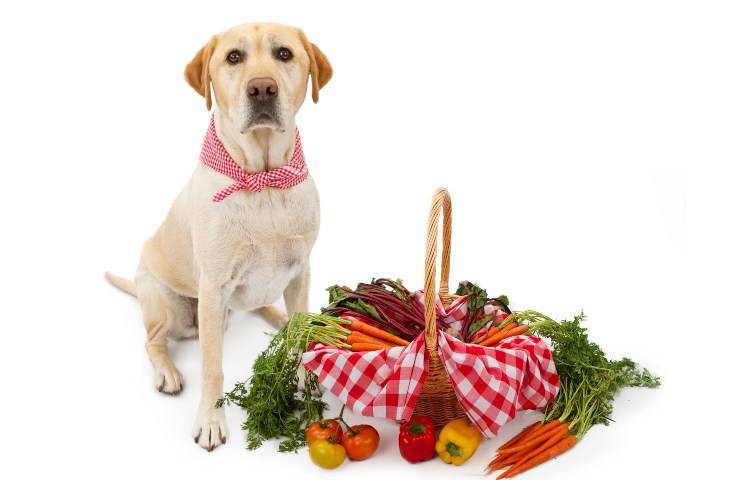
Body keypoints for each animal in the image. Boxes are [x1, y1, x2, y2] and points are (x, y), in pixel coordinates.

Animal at [105, 22, 332, 450]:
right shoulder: (212, 287)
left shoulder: (301, 271)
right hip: (165, 303)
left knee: (277, 312)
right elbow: (213, 368)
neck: (263, 181)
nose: (262, 88)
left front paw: (303, 378)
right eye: (233, 58)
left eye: (284, 54)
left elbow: (297, 338)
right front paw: (211, 420)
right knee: (153, 340)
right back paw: (167, 372)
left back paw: (282, 318)